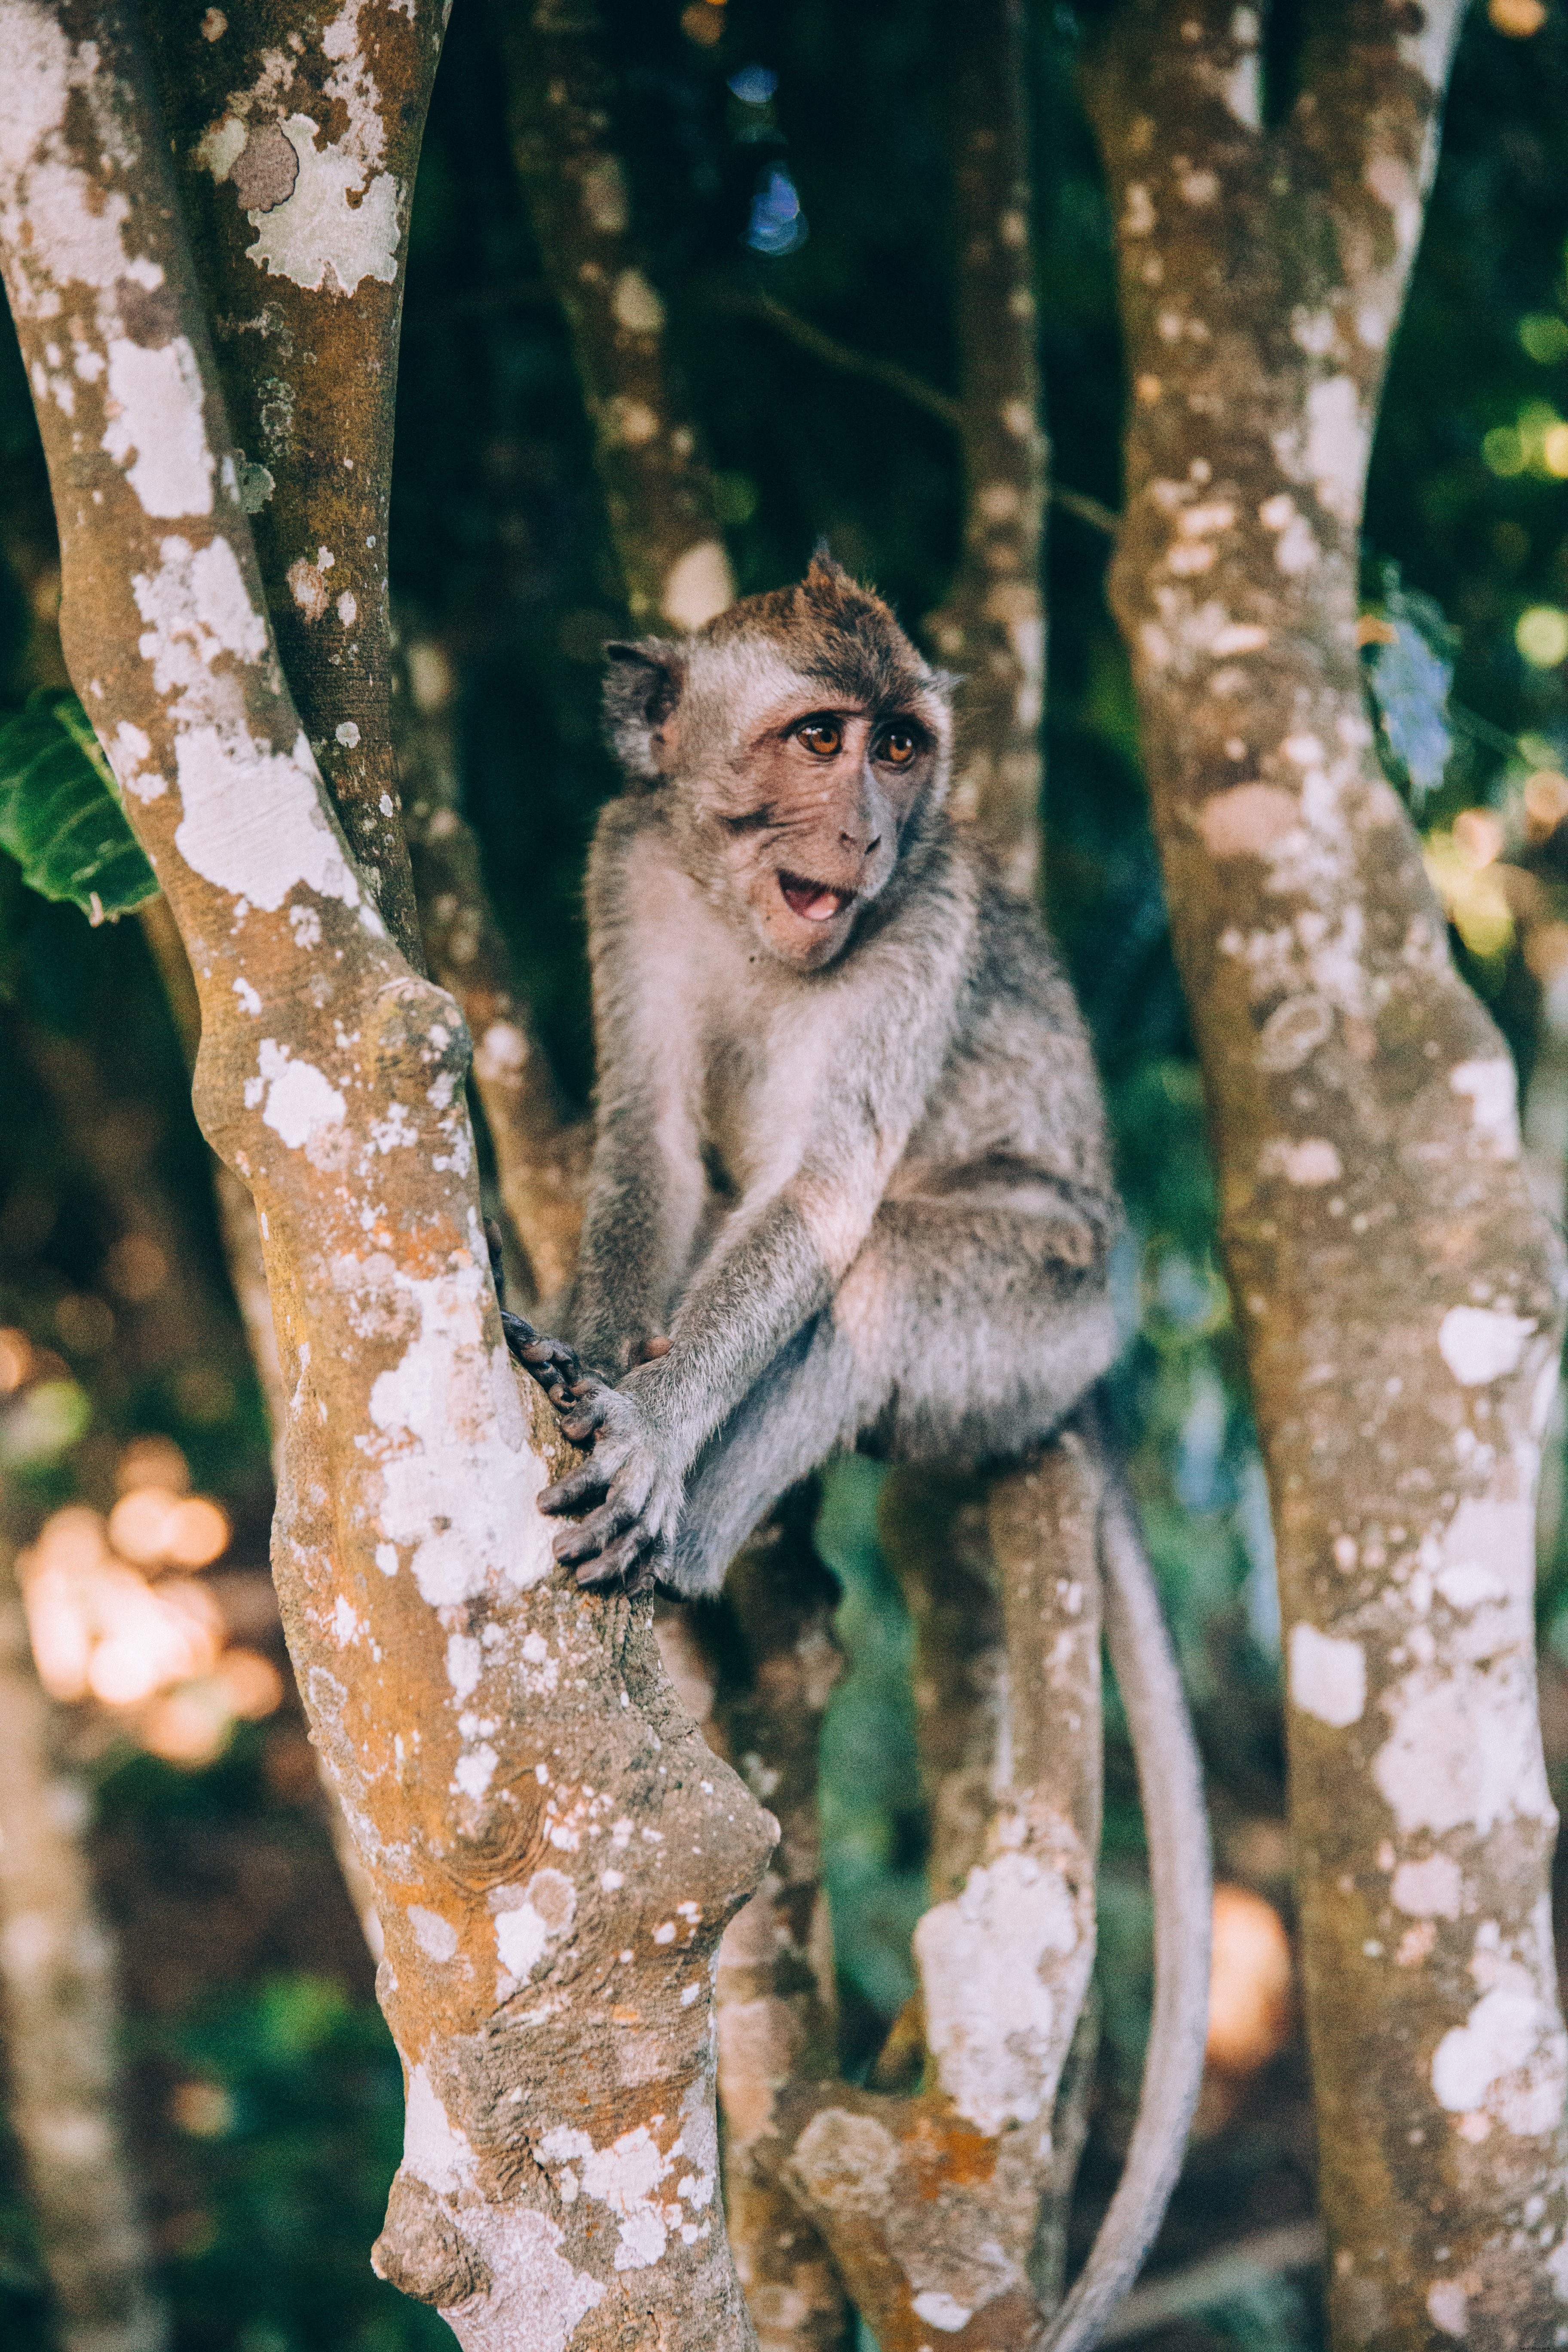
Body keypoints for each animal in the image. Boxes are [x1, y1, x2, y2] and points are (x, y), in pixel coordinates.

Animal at [503, 555, 1213, 2352]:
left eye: (902, 746)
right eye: (818, 737)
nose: (874, 831)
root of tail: (1097, 1370)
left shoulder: (924, 936)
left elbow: (823, 1206)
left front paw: (652, 1432)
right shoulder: (623, 867)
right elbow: (644, 1141)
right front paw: (589, 1350)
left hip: (1038, 1312)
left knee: (884, 1276)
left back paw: (690, 1546)